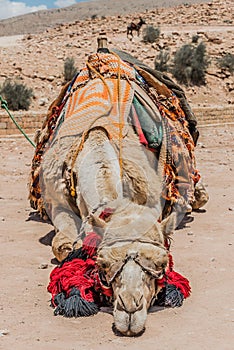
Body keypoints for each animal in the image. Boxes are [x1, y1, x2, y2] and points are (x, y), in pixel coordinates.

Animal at [29, 45, 208, 334]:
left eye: (162, 263)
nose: (130, 310)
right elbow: (64, 245)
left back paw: (197, 198)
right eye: (102, 264)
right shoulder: (57, 200)